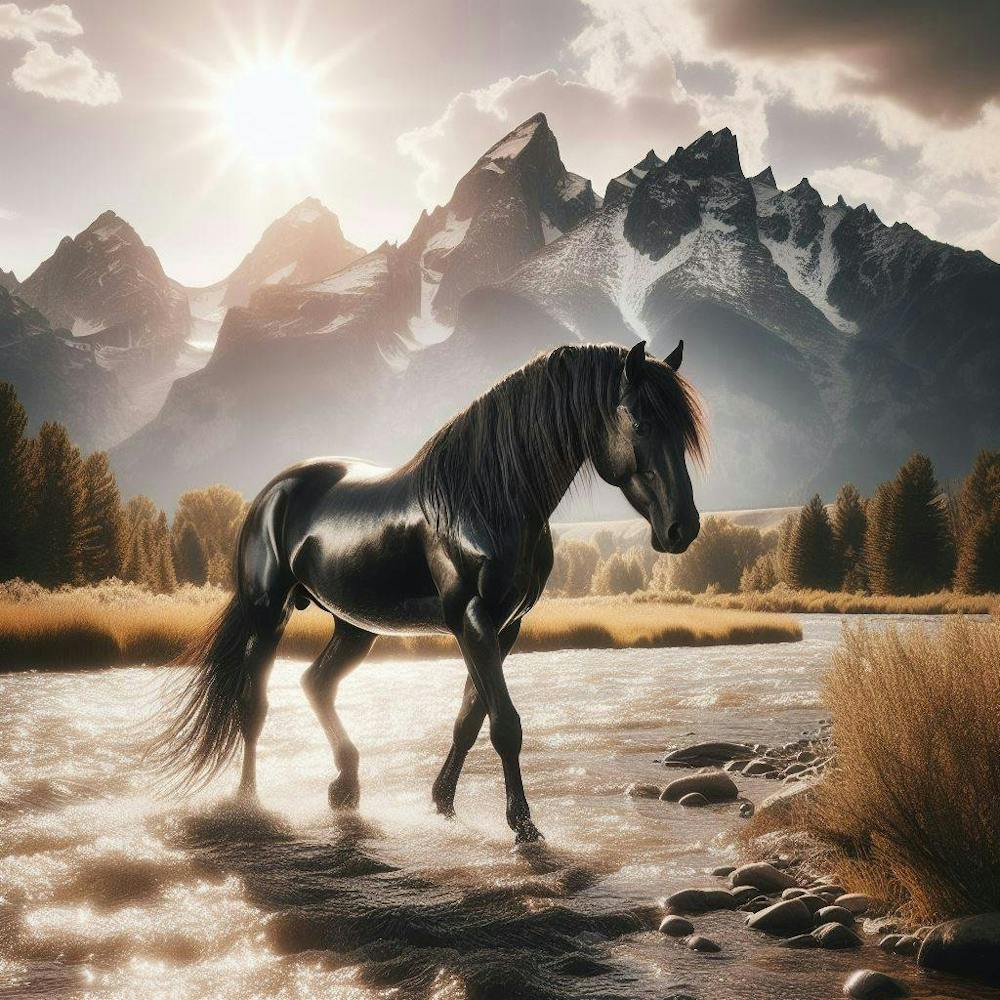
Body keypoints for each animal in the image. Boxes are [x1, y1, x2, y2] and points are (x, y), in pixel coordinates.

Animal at [148, 340, 705, 843]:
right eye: (640, 423)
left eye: (682, 430)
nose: (682, 529)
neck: (488, 497)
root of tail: (272, 493)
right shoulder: (472, 619)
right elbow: (505, 724)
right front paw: (523, 826)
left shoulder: (504, 626)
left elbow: (470, 719)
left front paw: (443, 803)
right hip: (269, 614)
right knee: (253, 704)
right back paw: (250, 801)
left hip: (354, 627)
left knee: (316, 684)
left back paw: (345, 787)